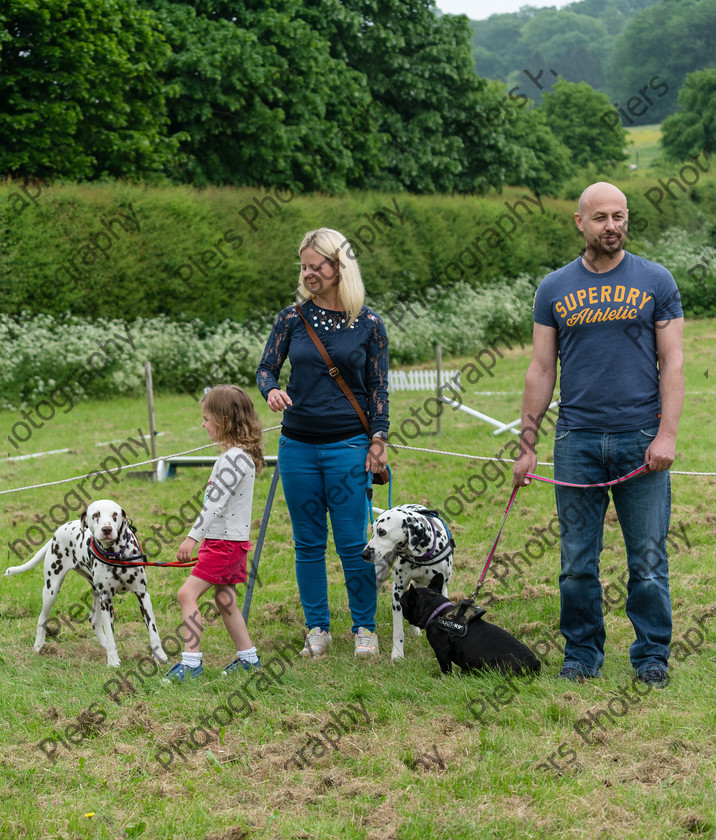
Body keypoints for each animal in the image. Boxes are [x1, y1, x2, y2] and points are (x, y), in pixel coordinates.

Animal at [4, 498, 167, 668]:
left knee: (94, 620)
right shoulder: (106, 601)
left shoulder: (142, 595)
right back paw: (39, 646)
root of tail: (56, 534)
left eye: (115, 514)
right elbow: (110, 632)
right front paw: (113, 661)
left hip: (95, 592)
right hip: (52, 589)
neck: (115, 555)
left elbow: (153, 630)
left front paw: (160, 655)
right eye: (96, 515)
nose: (107, 529)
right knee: (42, 618)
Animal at [360, 506, 456, 664]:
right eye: (372, 531)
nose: (365, 554)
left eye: (382, 532)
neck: (421, 555)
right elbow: (398, 631)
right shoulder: (397, 592)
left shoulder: (441, 588)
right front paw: (397, 654)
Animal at [400, 576, 540, 676]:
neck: (437, 611)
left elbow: (445, 667)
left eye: (403, 602)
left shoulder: (441, 651)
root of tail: (533, 661)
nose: (399, 599)